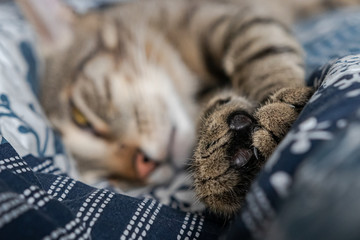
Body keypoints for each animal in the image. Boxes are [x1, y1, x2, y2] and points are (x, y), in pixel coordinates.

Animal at [14, 0, 358, 218]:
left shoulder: (233, 16)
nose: (144, 165)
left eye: (81, 118)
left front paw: (277, 111)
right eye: (109, 178)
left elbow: (263, 52)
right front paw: (219, 162)